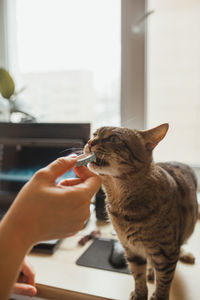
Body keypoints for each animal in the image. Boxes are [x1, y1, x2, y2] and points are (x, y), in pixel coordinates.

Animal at [85, 123, 198, 300]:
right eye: (94, 134)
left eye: (114, 138)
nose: (90, 142)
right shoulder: (131, 249)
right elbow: (137, 275)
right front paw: (140, 293)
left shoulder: (167, 253)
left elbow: (164, 281)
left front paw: (158, 296)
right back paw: (151, 270)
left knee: (180, 245)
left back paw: (184, 254)